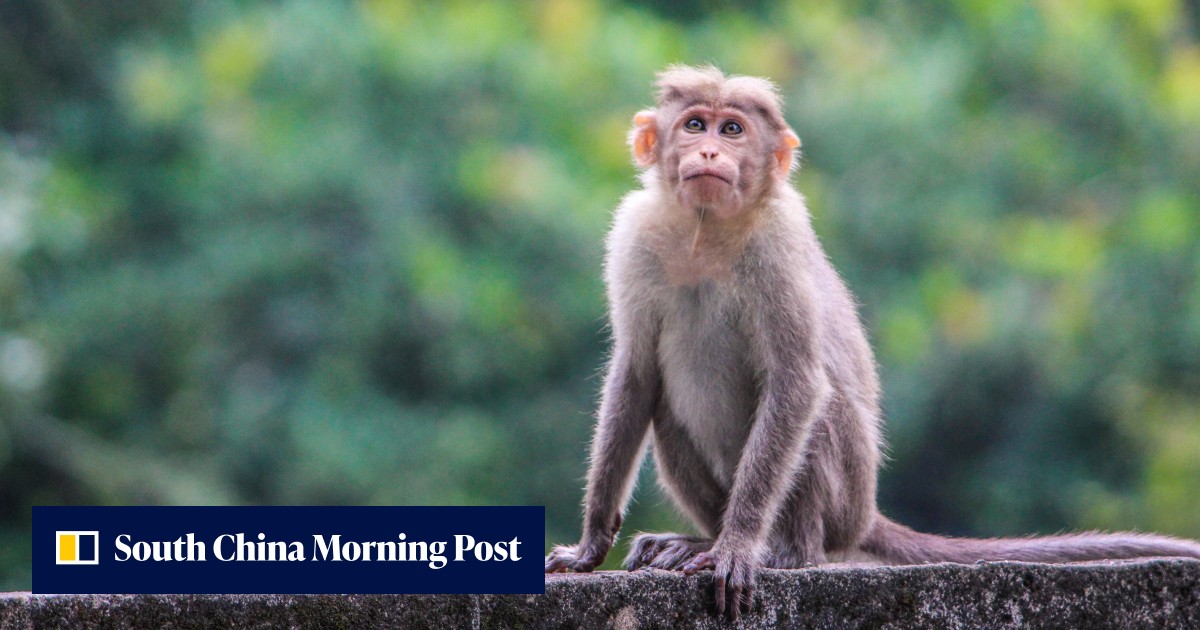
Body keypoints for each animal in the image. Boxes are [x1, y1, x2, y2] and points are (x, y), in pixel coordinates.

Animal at [544, 65, 1200, 620]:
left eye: (732, 130)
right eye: (694, 125)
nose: (708, 152)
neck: (707, 232)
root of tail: (865, 518)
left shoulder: (778, 245)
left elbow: (797, 382)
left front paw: (736, 548)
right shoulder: (634, 238)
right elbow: (636, 374)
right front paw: (590, 546)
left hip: (845, 499)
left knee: (820, 410)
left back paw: (783, 550)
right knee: (665, 409)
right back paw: (696, 539)